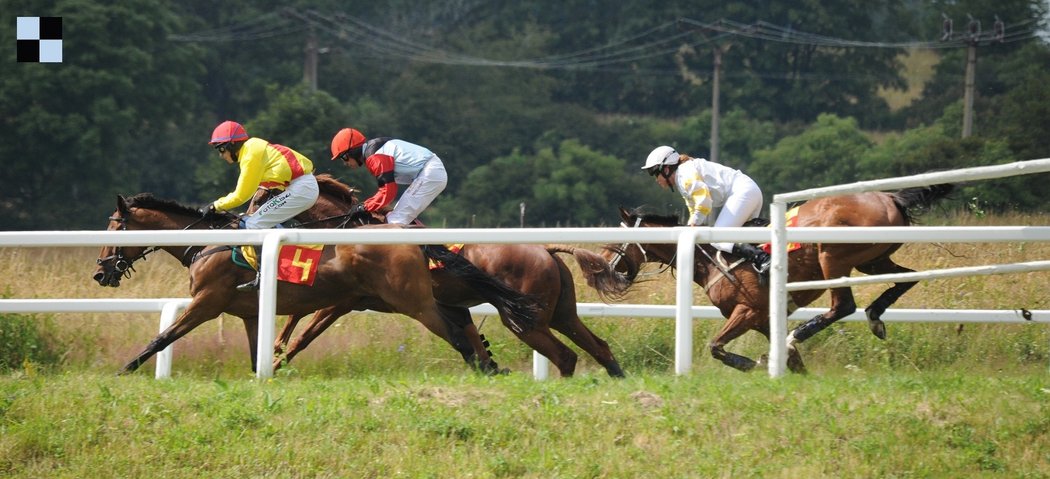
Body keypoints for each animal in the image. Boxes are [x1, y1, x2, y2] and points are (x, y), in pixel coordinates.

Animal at [93, 192, 537, 376]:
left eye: (114, 227)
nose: (100, 271)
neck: (206, 244)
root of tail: (407, 236)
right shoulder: (250, 313)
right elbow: (261, 351)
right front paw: (267, 372)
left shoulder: (207, 303)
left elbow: (162, 337)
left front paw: (124, 369)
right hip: (410, 296)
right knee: (460, 320)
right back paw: (489, 362)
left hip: (411, 301)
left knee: (455, 330)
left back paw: (484, 367)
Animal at [261, 175, 625, 378]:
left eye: (265, 196)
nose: (249, 213)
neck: (353, 230)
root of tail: (547, 251)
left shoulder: (346, 300)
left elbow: (304, 332)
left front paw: (274, 365)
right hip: (560, 313)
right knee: (598, 346)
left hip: (525, 320)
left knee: (566, 355)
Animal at [588, 183, 957, 373]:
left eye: (613, 240)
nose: (598, 271)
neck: (707, 258)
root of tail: (890, 195)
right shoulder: (764, 318)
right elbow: (792, 360)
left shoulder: (747, 311)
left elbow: (716, 347)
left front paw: (753, 363)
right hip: (873, 259)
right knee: (907, 279)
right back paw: (876, 316)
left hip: (833, 257)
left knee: (843, 306)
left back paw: (804, 331)